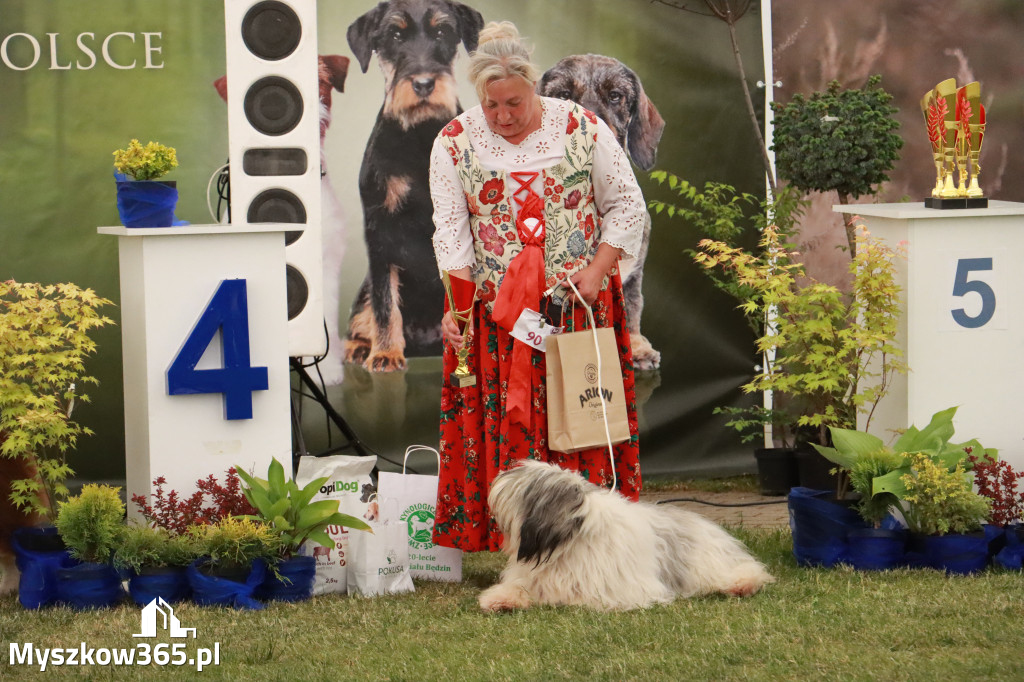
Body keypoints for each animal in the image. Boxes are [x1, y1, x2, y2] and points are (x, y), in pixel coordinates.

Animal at [479, 456, 774, 610]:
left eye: (520, 486)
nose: (497, 480)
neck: (570, 540)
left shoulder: (624, 589)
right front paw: (500, 599)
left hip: (709, 565)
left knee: (748, 572)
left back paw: (742, 585)